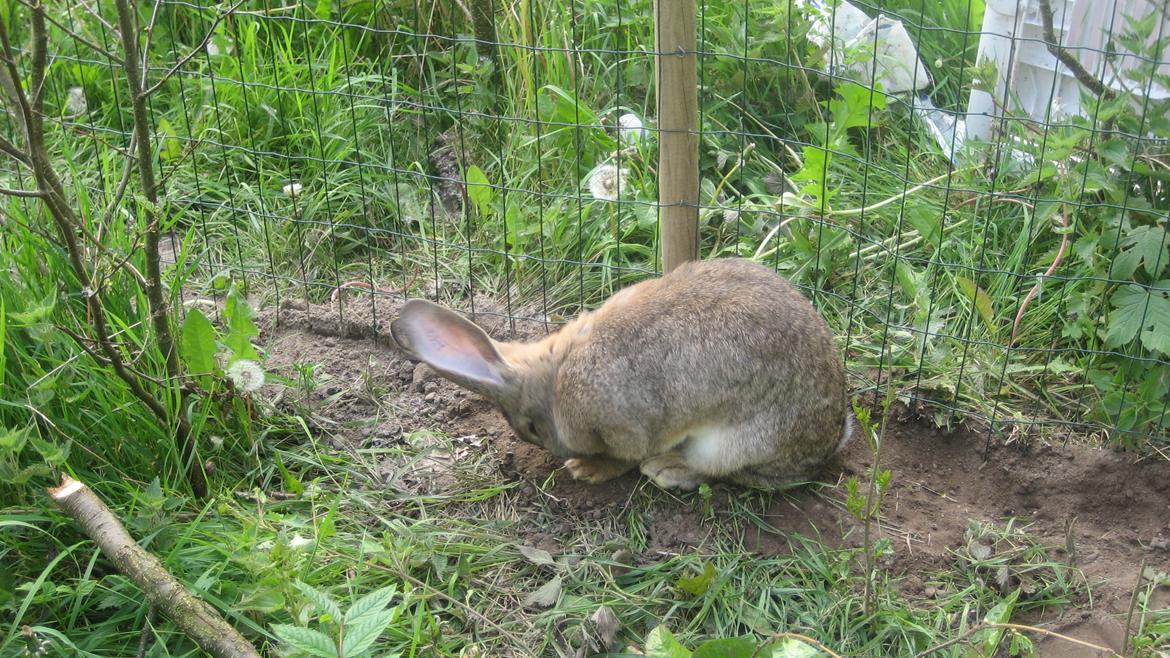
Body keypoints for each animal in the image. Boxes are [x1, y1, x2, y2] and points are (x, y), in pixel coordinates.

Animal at [388, 256, 856, 487]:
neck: (557, 373)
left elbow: (626, 457)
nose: (558, 450)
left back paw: (668, 471)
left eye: (531, 428)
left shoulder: (622, 425)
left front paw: (587, 470)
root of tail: (828, 443)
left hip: (732, 443)